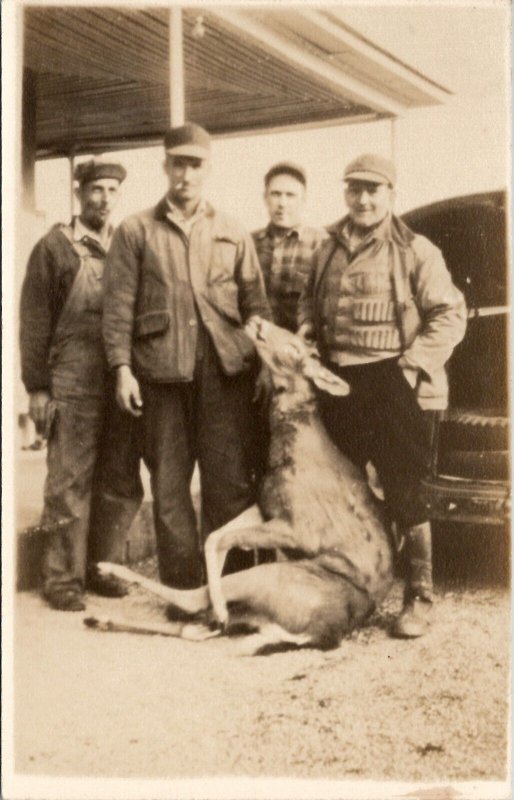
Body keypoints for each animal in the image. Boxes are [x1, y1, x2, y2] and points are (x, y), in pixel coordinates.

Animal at [97, 320, 392, 656]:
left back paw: (112, 572)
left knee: (193, 602)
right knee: (194, 628)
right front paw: (218, 600)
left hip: (266, 577)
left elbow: (223, 538)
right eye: (293, 337)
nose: (258, 322)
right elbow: (215, 535)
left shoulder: (300, 528)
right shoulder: (265, 505)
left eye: (294, 349)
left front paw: (219, 606)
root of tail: (317, 634)